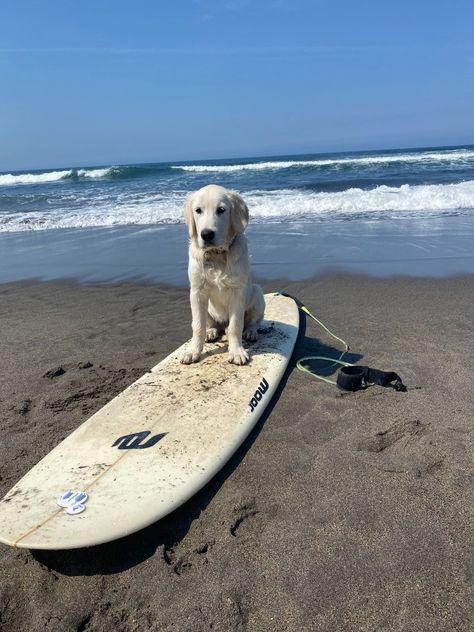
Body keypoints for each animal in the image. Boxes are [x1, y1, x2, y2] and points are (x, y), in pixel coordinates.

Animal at [181, 183, 264, 366]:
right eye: (198, 210)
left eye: (221, 210)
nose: (206, 234)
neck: (217, 255)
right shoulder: (197, 292)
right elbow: (197, 326)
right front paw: (193, 351)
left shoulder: (238, 291)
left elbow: (235, 326)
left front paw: (237, 352)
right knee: (211, 324)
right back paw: (211, 332)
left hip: (258, 294)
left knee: (253, 322)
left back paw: (251, 332)